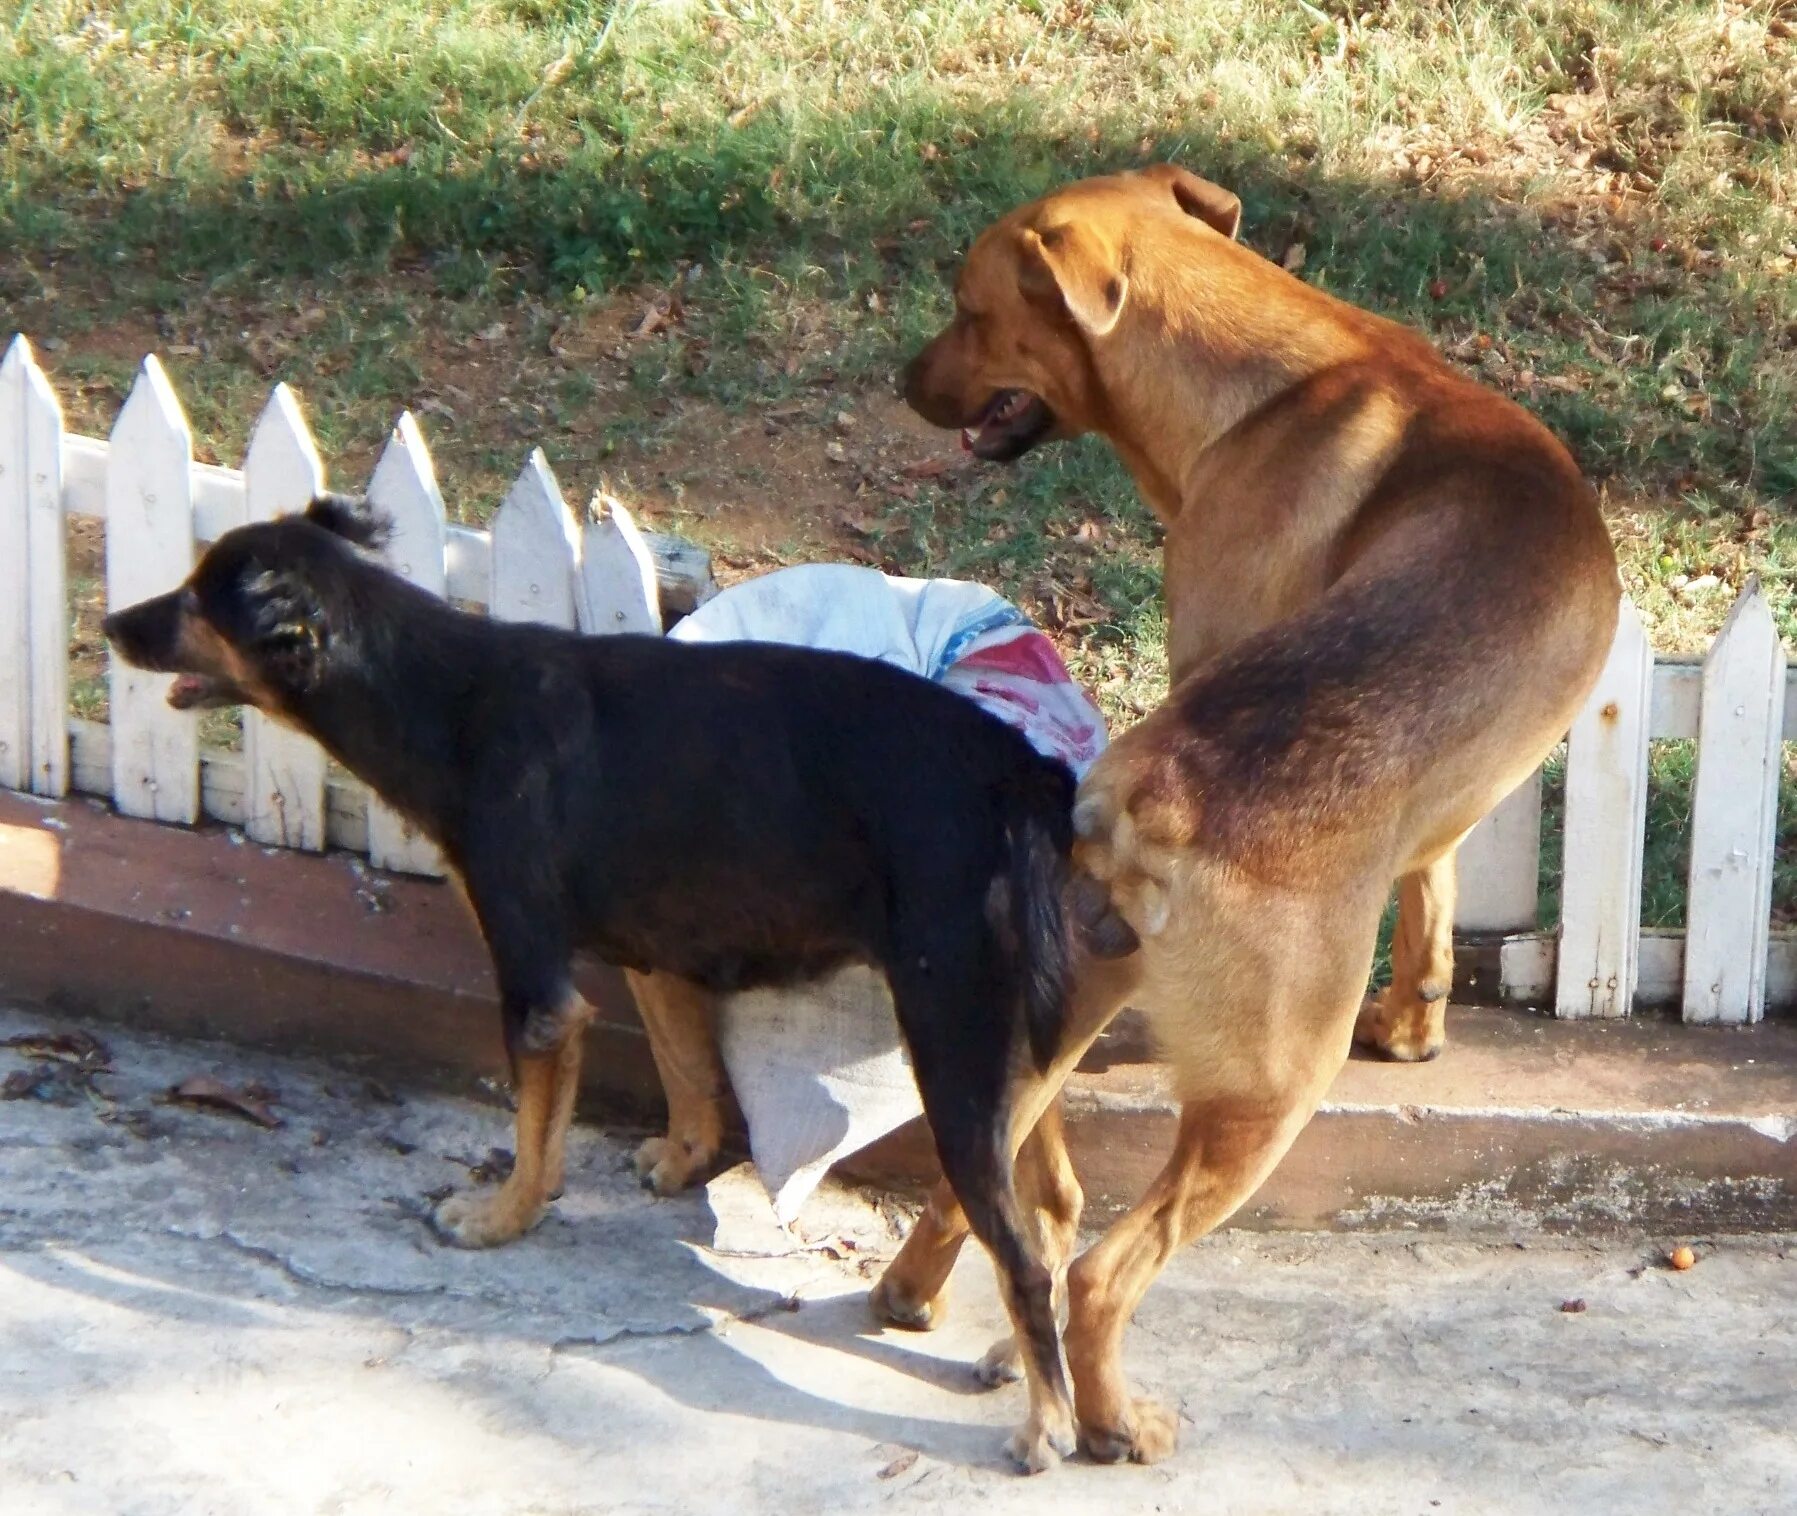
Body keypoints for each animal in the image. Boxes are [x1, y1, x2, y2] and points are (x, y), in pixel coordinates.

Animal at [105, 495, 1085, 1465]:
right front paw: (680, 1159)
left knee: (1022, 1255)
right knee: (1056, 1209)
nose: (110, 625)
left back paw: (1048, 1421)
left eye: (196, 601)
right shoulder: (659, 949)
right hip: (1010, 1056)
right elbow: (685, 1068)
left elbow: (536, 1131)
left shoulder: (538, 990)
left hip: (953, 1051)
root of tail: (1021, 775)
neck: (441, 696)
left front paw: (502, 1218)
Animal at [876, 168, 1624, 1465]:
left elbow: (1429, 898)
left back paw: (921, 1296)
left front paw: (1415, 1027)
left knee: (998, 1183)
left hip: (1067, 1023)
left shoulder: (1435, 815)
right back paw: (1117, 1420)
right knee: (1105, 1272)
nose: (908, 383)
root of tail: (1158, 791)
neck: (1263, 390)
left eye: (969, 310)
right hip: (1266, 1098)